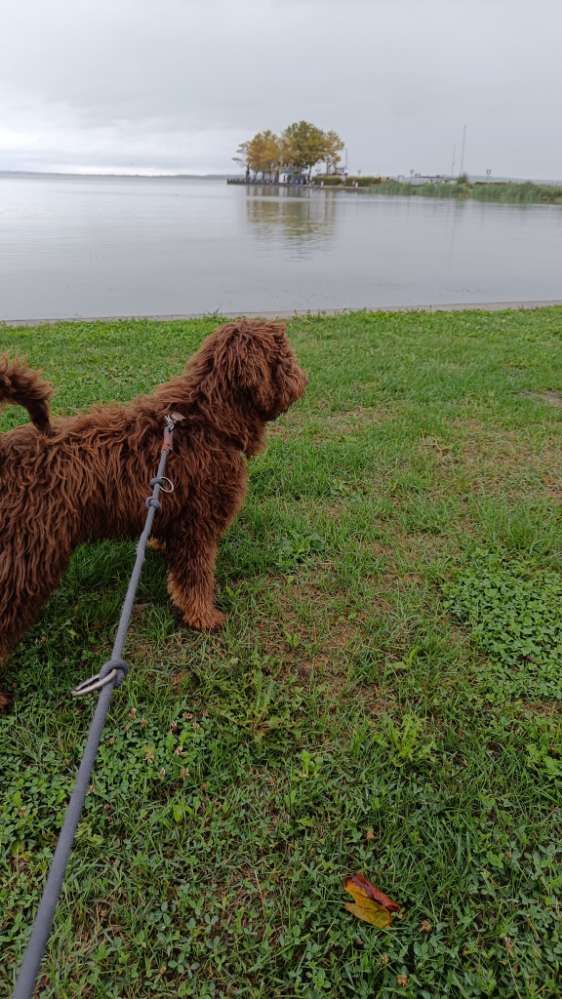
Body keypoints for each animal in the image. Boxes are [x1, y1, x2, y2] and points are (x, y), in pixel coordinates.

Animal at [0, 322, 306, 680]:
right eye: (284, 356)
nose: (303, 380)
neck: (208, 420)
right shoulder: (198, 525)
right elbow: (196, 577)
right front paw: (204, 618)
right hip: (27, 558)